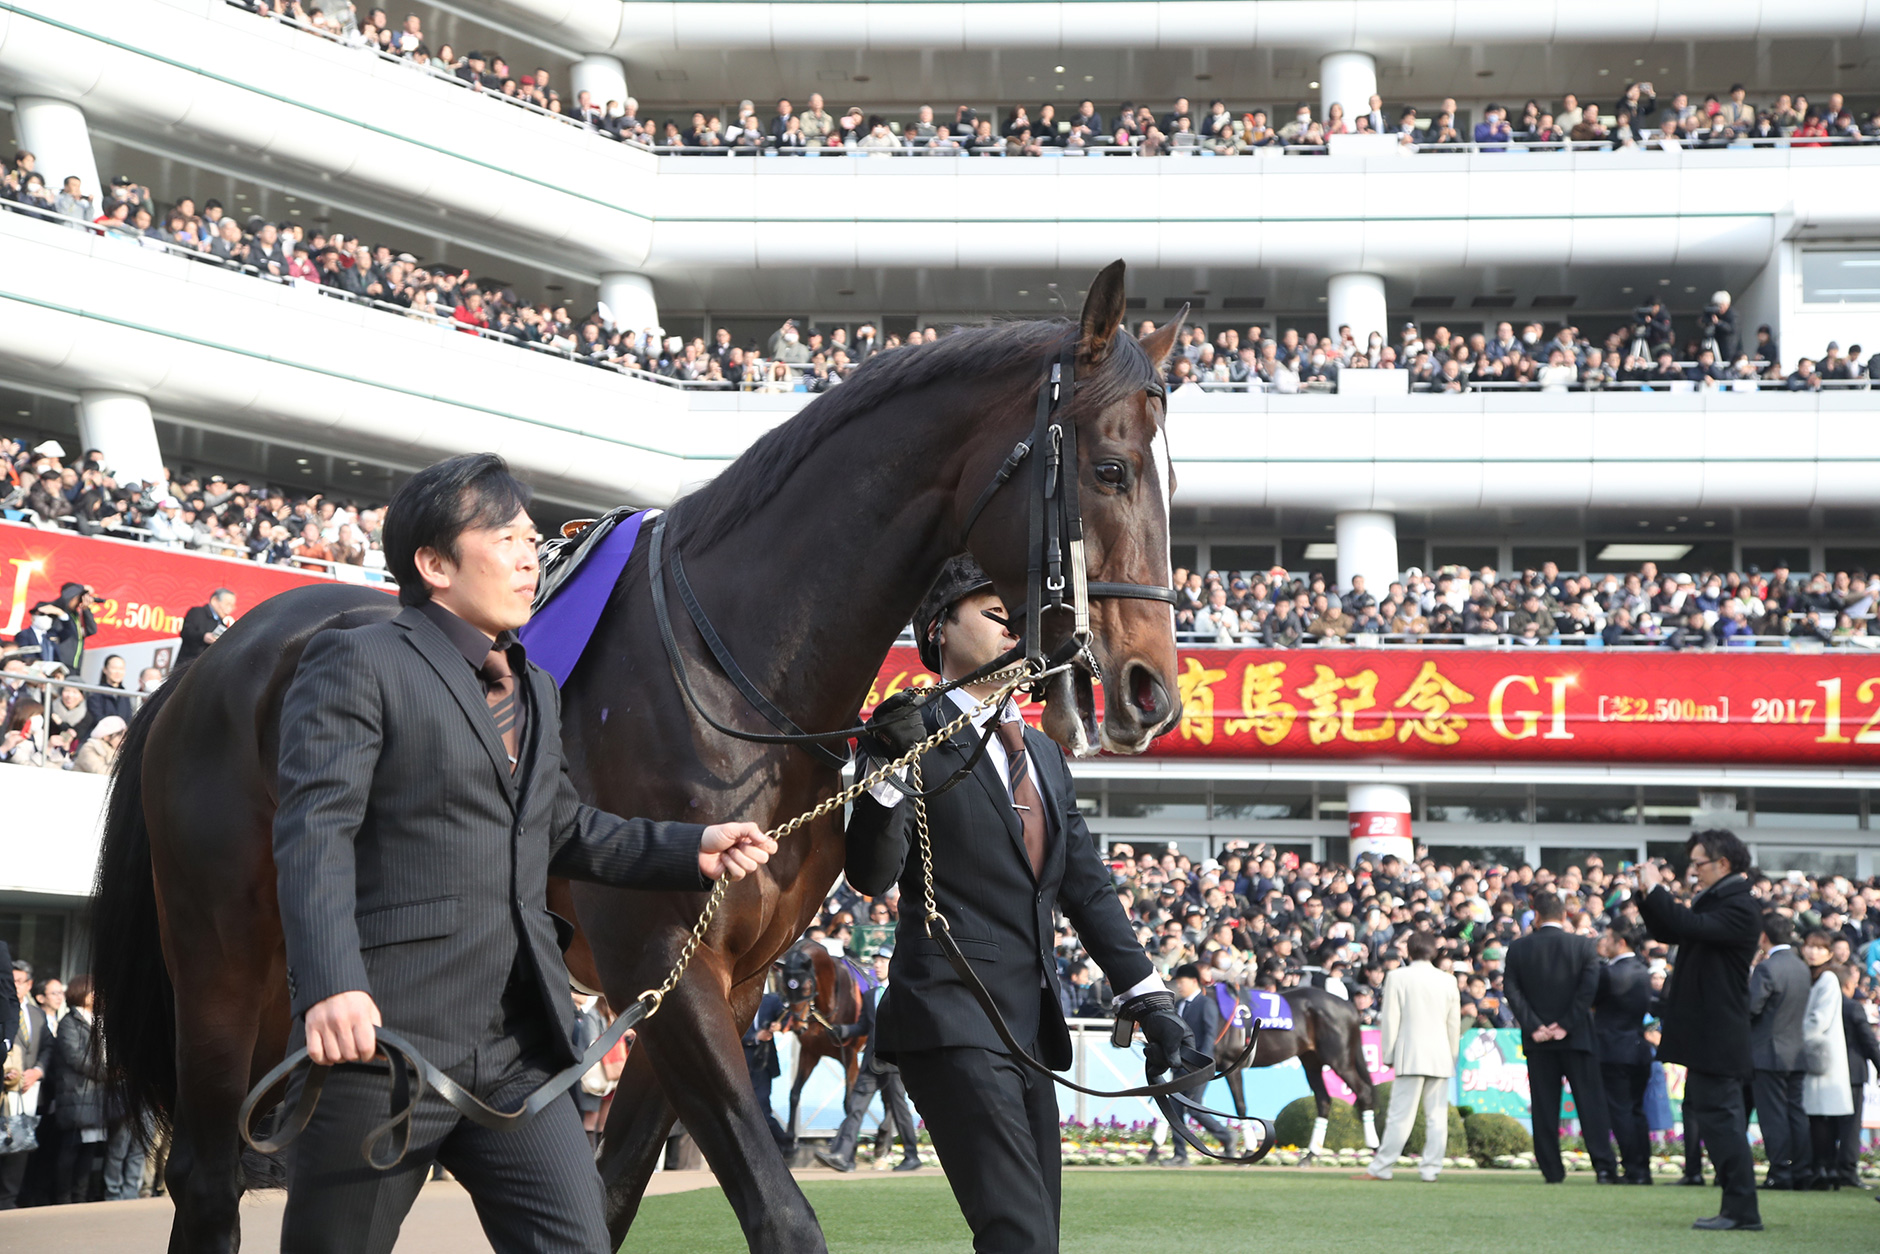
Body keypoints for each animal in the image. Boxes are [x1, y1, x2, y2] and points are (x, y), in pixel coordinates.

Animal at [774, 940, 865, 1148]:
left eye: (807, 986)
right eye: (784, 985)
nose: (798, 1026)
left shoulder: (850, 1056)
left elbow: (849, 1101)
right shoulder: (810, 1052)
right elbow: (794, 1093)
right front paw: (789, 1138)